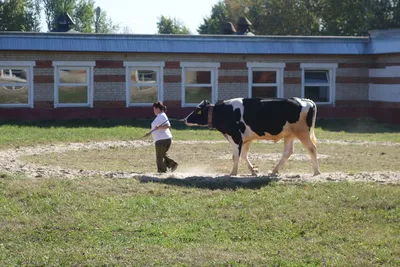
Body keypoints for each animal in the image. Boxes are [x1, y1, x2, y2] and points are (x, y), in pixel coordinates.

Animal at [183, 97, 320, 177]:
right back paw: (274, 171)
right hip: (290, 134)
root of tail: (306, 100)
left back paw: (316, 171)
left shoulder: (236, 137)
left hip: (303, 133)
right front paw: (253, 170)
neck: (224, 111)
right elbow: (244, 155)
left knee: (312, 148)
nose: (185, 119)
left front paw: (233, 173)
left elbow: (235, 156)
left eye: (197, 110)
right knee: (288, 152)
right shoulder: (246, 139)